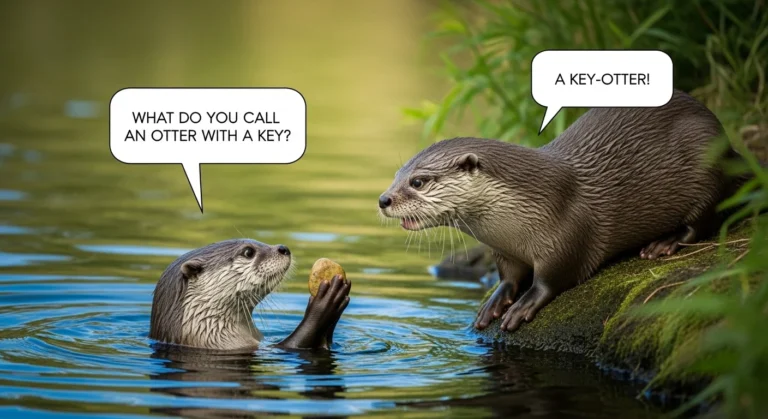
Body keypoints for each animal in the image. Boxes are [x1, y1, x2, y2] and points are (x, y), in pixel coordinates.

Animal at [379, 89, 739, 333]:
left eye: (419, 181)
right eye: (396, 175)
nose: (383, 200)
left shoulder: (568, 232)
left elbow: (555, 277)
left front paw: (523, 305)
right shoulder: (504, 251)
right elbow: (508, 276)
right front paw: (495, 302)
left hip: (706, 162)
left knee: (705, 219)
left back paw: (664, 243)